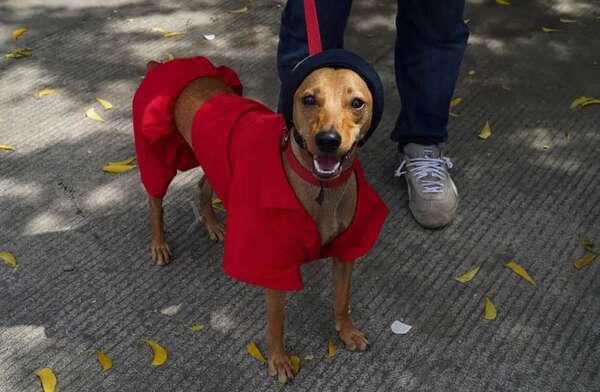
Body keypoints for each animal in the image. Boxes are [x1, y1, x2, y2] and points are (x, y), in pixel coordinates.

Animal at [131, 56, 386, 384]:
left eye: (357, 103)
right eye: (308, 99)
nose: (328, 140)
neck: (319, 188)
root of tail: (164, 64)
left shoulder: (346, 252)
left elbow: (343, 301)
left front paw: (347, 332)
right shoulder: (273, 267)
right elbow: (276, 323)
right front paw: (278, 360)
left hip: (215, 162)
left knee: (203, 185)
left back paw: (212, 223)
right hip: (157, 158)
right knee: (155, 202)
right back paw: (160, 244)